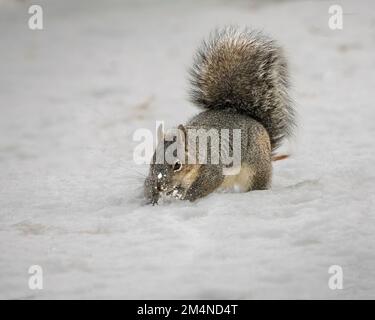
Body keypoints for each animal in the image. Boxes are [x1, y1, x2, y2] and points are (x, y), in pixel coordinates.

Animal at [145, 26, 296, 204]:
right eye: (152, 161)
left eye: (177, 165)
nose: (160, 186)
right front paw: (152, 197)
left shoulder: (212, 168)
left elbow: (204, 185)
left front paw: (185, 199)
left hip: (256, 166)